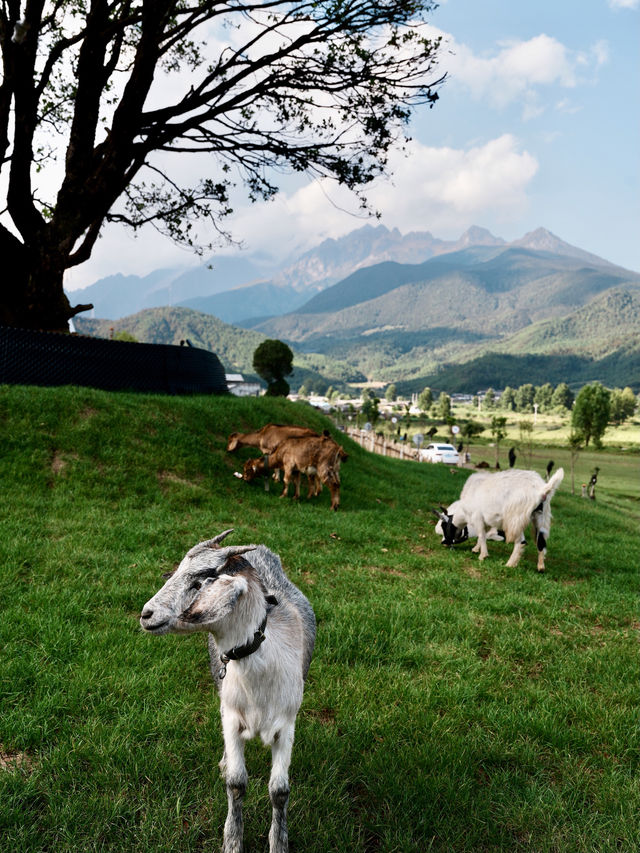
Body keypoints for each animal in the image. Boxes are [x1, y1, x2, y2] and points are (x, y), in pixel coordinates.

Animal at [142, 524, 318, 852]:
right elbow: (236, 783)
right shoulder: (232, 717)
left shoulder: (287, 724)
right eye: (176, 572)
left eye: (200, 580)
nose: (146, 614)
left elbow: (279, 790)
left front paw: (278, 843)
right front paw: (233, 841)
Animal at [436, 466, 564, 572]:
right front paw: (476, 549)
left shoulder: (477, 518)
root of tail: (541, 490)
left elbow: (481, 535)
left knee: (521, 542)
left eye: (444, 526)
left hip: (515, 519)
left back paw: (510, 564)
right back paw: (540, 567)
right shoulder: (486, 522)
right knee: (541, 541)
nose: (443, 543)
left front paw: (483, 556)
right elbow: (482, 535)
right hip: (541, 517)